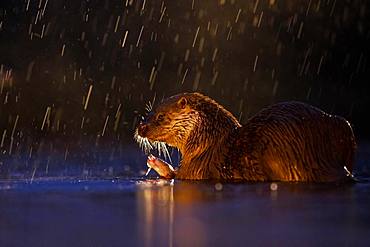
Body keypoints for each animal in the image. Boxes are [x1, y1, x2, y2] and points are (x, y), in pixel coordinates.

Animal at [135, 92, 356, 181]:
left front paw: (157, 163)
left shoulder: (197, 168)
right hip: (342, 126)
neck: (208, 142)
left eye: (160, 116)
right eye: (149, 111)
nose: (140, 127)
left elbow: (176, 176)